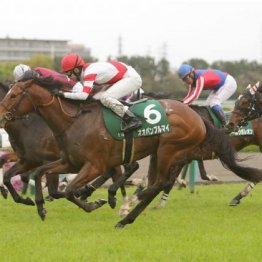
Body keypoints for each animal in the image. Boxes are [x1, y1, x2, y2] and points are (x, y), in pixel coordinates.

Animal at [0, 77, 262, 227]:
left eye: (14, 95)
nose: (1, 115)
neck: (72, 121)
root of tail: (197, 116)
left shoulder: (93, 164)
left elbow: (70, 190)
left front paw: (93, 203)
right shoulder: (67, 161)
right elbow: (40, 175)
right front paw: (39, 206)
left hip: (169, 149)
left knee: (159, 183)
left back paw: (126, 214)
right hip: (160, 152)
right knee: (154, 181)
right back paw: (129, 209)